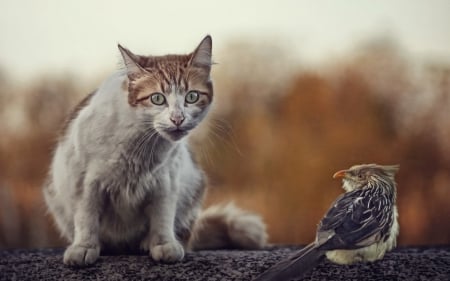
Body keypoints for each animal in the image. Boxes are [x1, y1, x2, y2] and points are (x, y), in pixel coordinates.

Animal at [42, 35, 268, 264]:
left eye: (192, 97)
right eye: (157, 98)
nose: (178, 119)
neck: (139, 147)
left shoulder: (165, 182)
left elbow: (162, 218)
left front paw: (162, 244)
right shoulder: (86, 183)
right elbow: (86, 218)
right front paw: (84, 247)